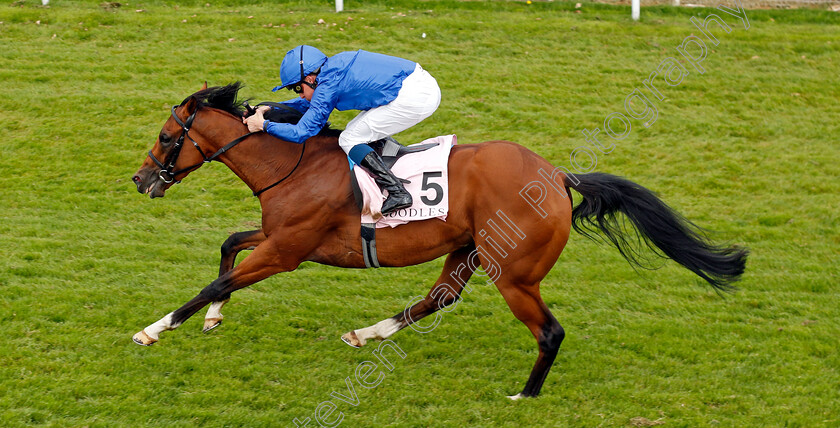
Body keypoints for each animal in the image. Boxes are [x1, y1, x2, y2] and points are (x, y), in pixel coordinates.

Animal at [131, 83, 748, 398]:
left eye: (165, 136)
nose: (140, 180)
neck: (294, 164)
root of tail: (557, 176)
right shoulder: (284, 237)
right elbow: (229, 244)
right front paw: (213, 320)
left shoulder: (287, 252)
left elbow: (216, 281)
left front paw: (153, 329)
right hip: (470, 248)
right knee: (440, 296)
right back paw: (366, 333)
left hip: (513, 272)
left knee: (548, 331)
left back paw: (524, 396)